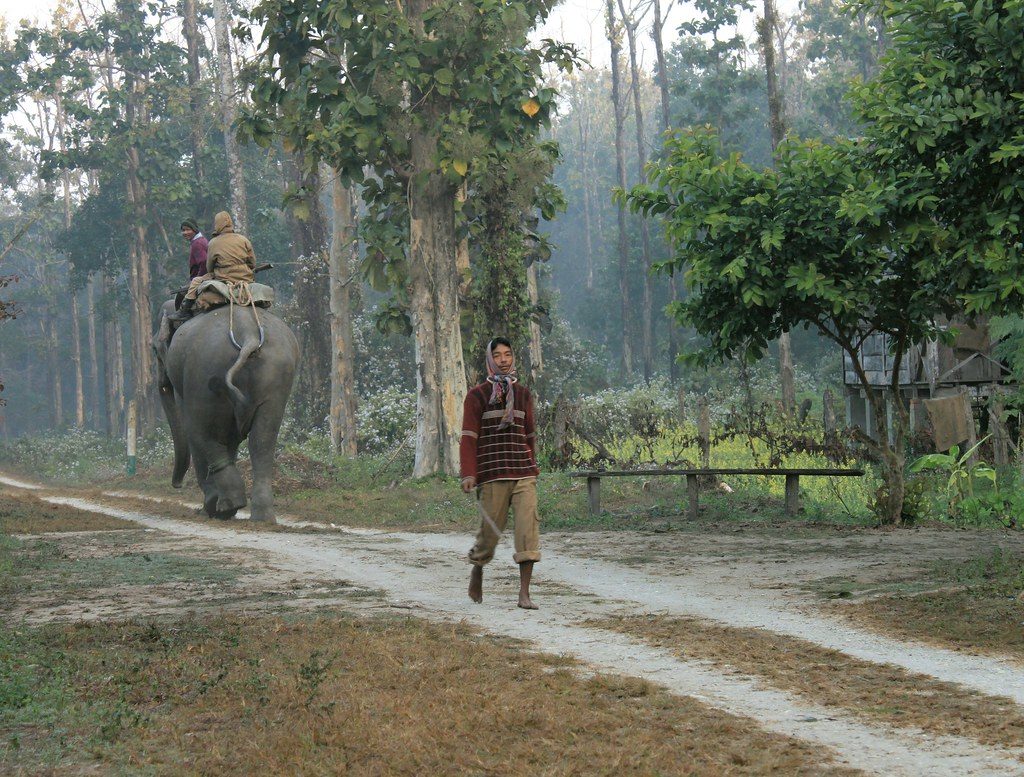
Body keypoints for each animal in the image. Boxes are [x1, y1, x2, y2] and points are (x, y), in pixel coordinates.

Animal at [153, 299, 299, 522]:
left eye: (154, 350)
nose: (176, 484)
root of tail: (249, 336)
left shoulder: (184, 382)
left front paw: (210, 508)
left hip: (204, 374)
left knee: (201, 431)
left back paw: (223, 506)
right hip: (277, 374)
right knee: (263, 440)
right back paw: (261, 517)